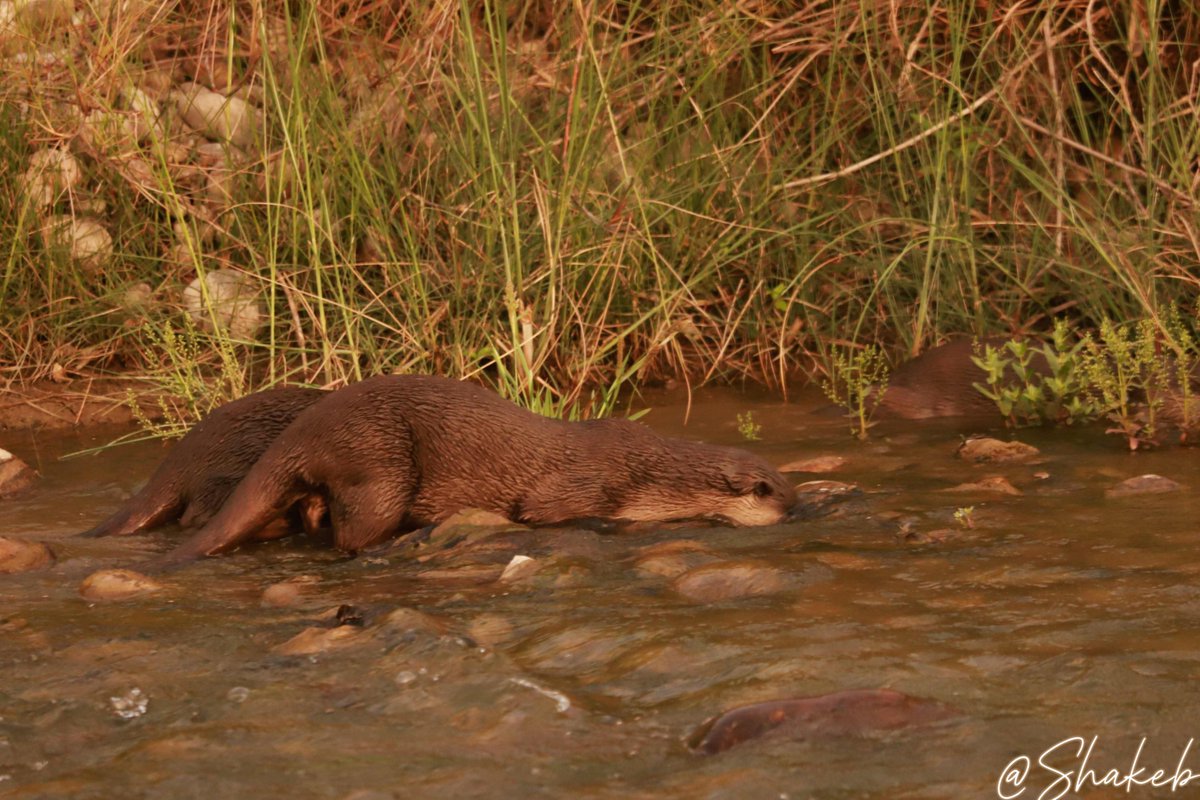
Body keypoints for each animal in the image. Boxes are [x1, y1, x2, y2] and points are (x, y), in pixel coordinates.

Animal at [156, 375, 798, 564]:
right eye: (779, 497)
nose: (801, 510)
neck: (650, 472)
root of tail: (304, 429)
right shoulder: (585, 485)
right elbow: (544, 510)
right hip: (381, 460)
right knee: (353, 534)